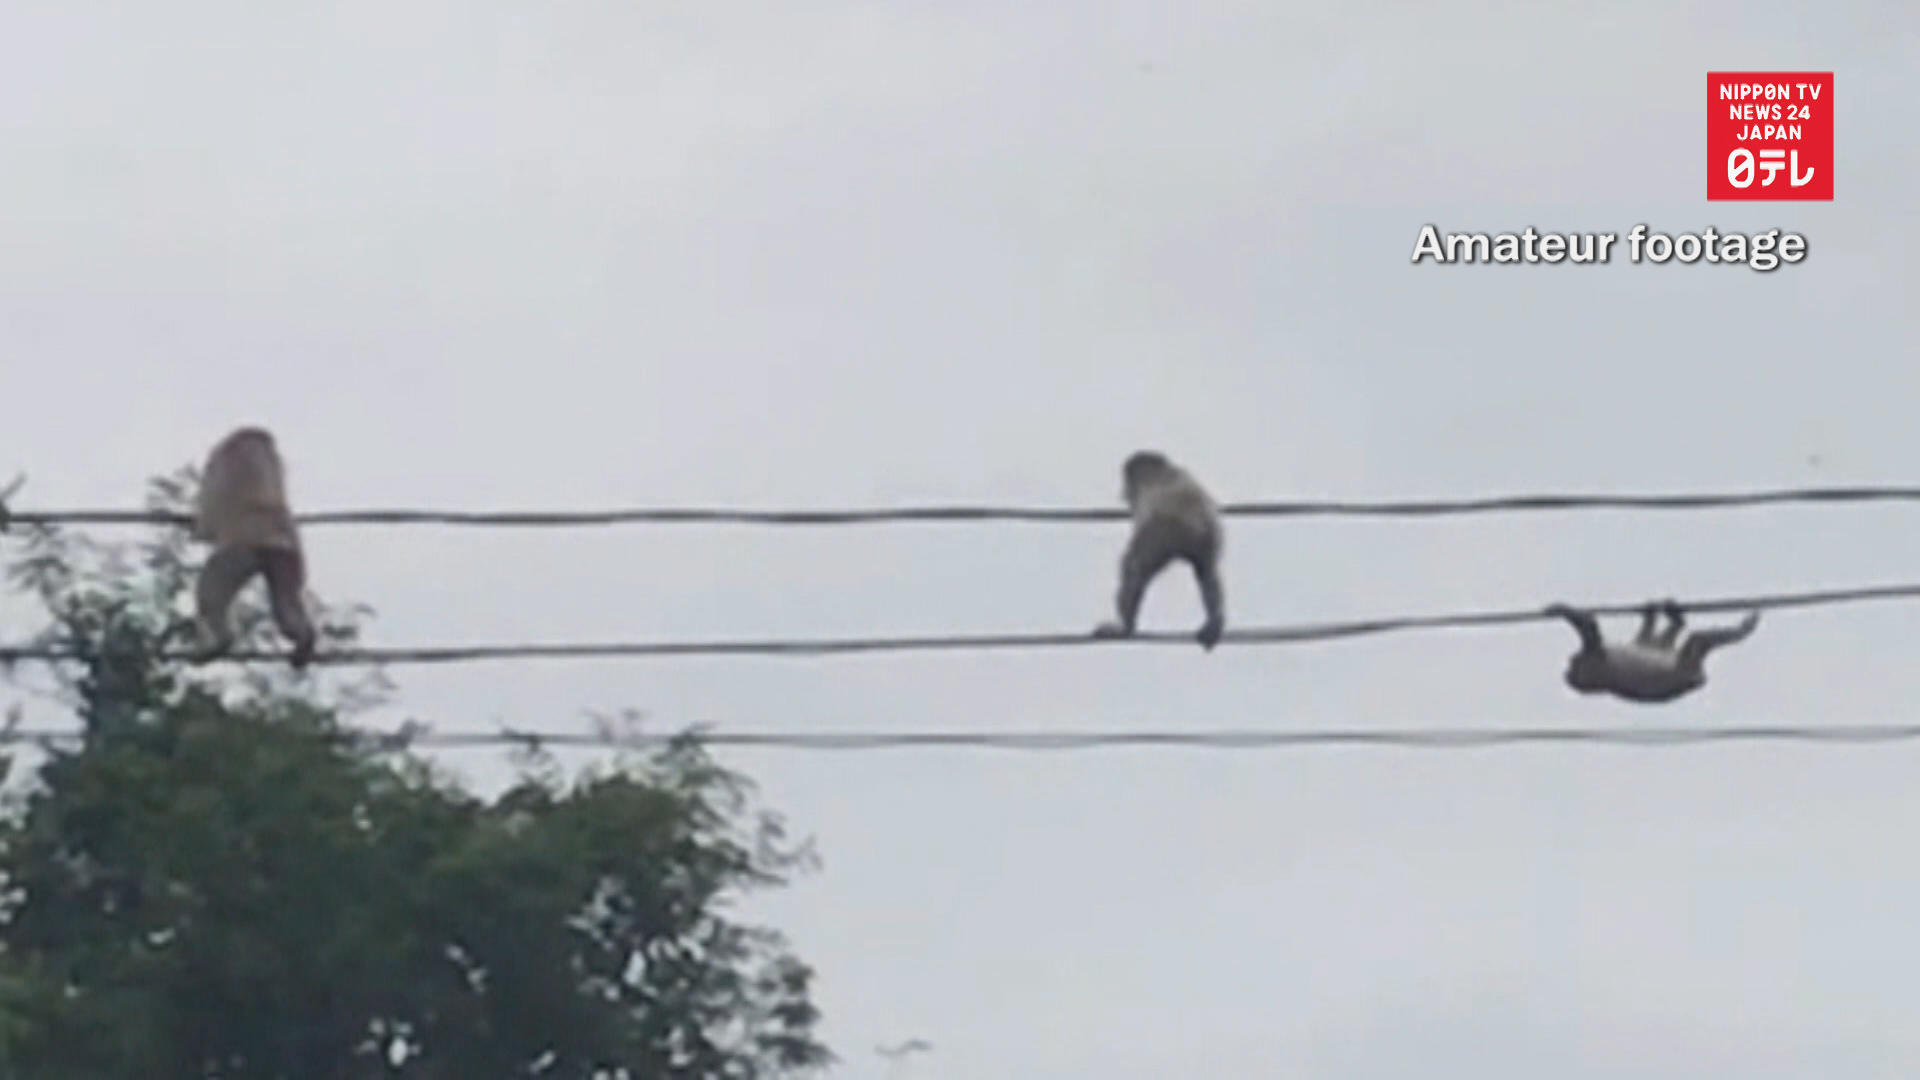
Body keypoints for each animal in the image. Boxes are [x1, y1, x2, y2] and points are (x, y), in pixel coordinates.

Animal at [191, 426, 316, 669]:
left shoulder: (220, 460)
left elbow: (206, 525)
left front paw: (199, 531)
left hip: (239, 553)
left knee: (210, 591)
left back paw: (223, 640)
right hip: (289, 556)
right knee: (285, 606)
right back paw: (305, 638)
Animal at [1092, 450, 1226, 650]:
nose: (1123, 492)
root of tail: (1195, 523)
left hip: (1163, 534)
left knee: (1134, 567)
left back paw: (1126, 628)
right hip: (1208, 537)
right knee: (1207, 573)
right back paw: (1215, 622)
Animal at [1543, 598, 1759, 704]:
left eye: (1570, 663)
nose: (1568, 666)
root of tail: (1699, 680)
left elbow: (1648, 640)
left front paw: (1651, 613)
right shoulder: (1594, 660)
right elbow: (1590, 628)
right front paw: (1560, 609)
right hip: (1688, 666)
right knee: (1698, 640)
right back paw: (1744, 628)